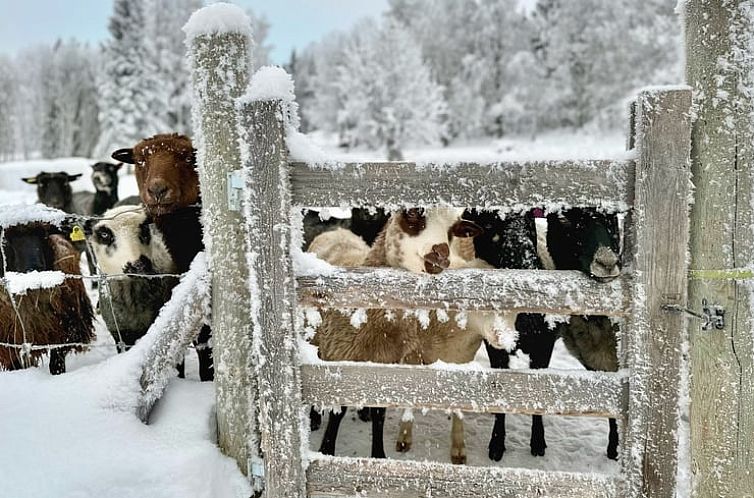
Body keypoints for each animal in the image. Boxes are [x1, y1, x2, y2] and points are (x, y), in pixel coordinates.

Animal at [0, 222, 94, 374]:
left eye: (44, 235)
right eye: (6, 239)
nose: (35, 269)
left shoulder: (64, 331)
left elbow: (56, 364)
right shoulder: (9, 344)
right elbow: (16, 365)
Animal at [310, 207, 512, 462]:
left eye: (452, 230)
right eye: (414, 214)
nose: (441, 253)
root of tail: (336, 230)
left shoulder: (387, 363)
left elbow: (380, 413)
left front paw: (378, 455)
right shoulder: (341, 357)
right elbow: (337, 413)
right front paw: (326, 450)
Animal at [464, 208, 552, 462]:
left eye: (529, 218)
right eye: (489, 225)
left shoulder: (544, 346)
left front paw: (538, 442)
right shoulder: (495, 349)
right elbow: (499, 388)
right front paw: (496, 444)